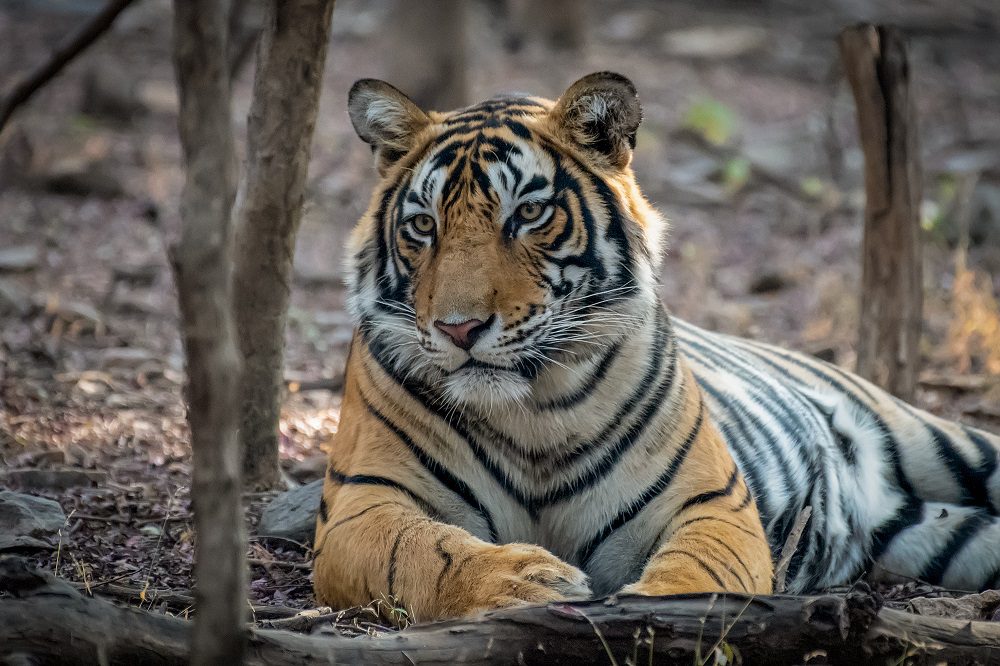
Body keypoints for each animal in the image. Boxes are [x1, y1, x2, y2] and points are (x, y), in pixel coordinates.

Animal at [312, 71, 1000, 621]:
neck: (529, 406)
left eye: (528, 215)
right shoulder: (359, 504)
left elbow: (701, 570)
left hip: (941, 440)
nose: (459, 329)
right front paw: (528, 582)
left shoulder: (713, 500)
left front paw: (655, 612)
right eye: (423, 225)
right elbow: (423, 553)